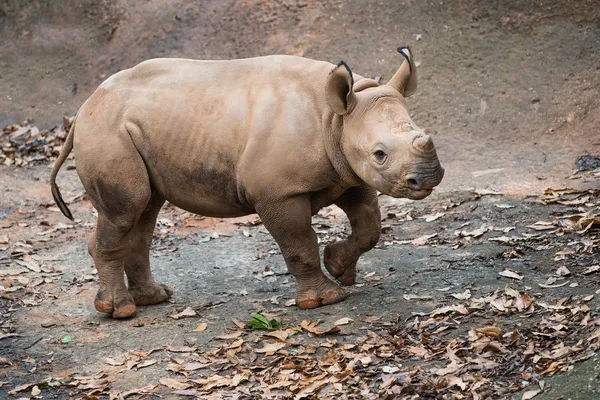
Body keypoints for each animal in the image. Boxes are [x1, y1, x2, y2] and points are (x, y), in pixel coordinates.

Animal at [50, 47, 440, 318]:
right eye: (380, 154)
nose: (428, 177)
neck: (336, 118)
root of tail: (82, 111)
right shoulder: (278, 193)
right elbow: (299, 243)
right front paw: (324, 299)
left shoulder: (346, 173)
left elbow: (369, 227)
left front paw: (338, 267)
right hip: (107, 131)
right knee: (125, 211)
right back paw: (121, 311)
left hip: (132, 129)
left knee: (144, 211)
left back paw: (154, 298)